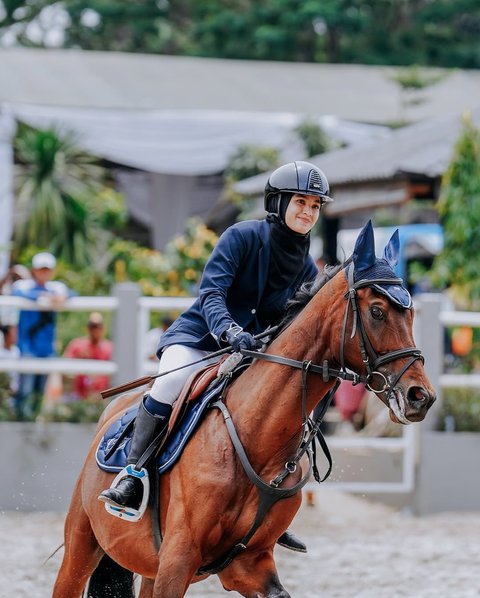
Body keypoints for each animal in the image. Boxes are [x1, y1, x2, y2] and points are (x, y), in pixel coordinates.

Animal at [52, 225, 436, 598]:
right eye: (377, 311)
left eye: (411, 313)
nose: (421, 397)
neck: (256, 438)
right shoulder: (179, 558)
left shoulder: (249, 565)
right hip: (81, 546)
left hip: (149, 566)